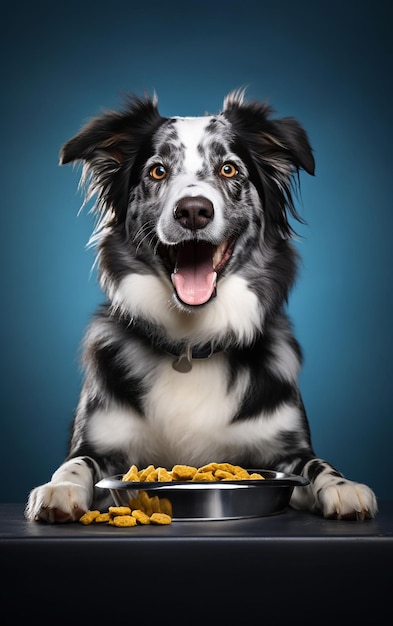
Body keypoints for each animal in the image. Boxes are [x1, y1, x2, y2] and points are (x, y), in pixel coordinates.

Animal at [25, 90, 376, 520]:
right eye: (158, 171)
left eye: (228, 169)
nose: (193, 210)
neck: (192, 344)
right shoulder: (100, 443)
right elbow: (76, 462)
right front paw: (59, 487)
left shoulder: (286, 446)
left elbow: (317, 465)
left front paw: (345, 487)